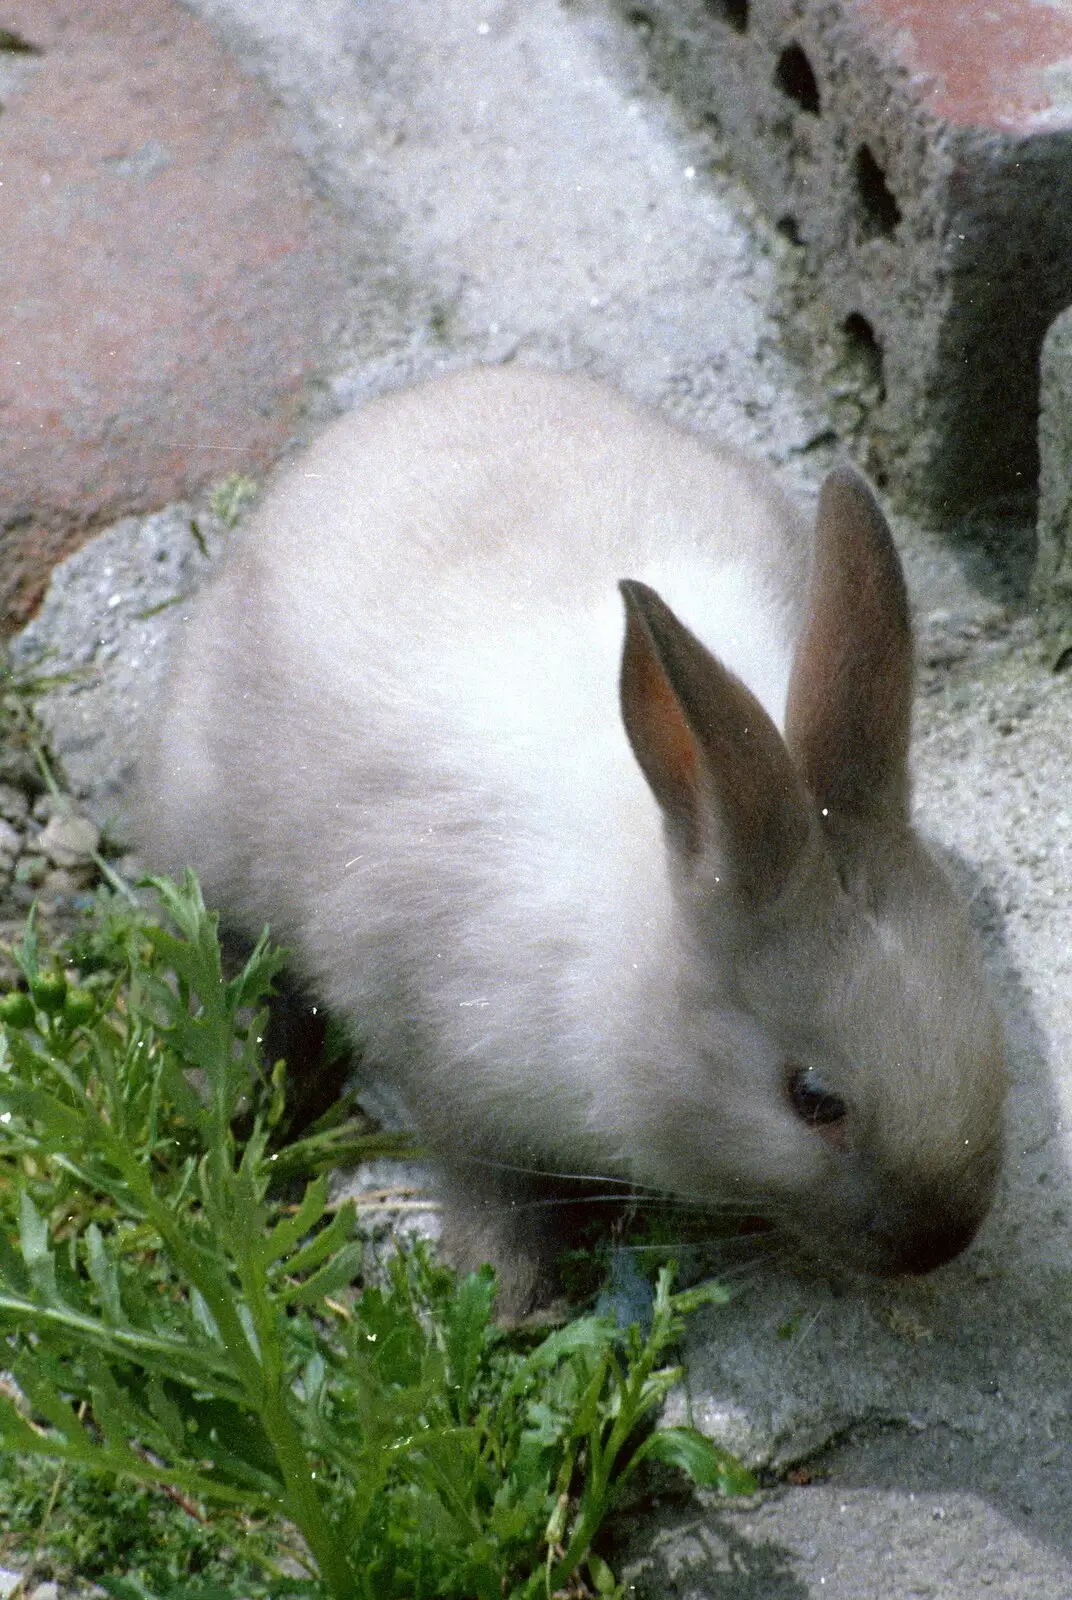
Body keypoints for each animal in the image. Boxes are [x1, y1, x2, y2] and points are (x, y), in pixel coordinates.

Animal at [134, 368, 1011, 1318]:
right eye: (813, 1100)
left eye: (981, 1012)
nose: (941, 1239)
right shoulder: (440, 1057)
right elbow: (485, 1178)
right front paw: (506, 1292)